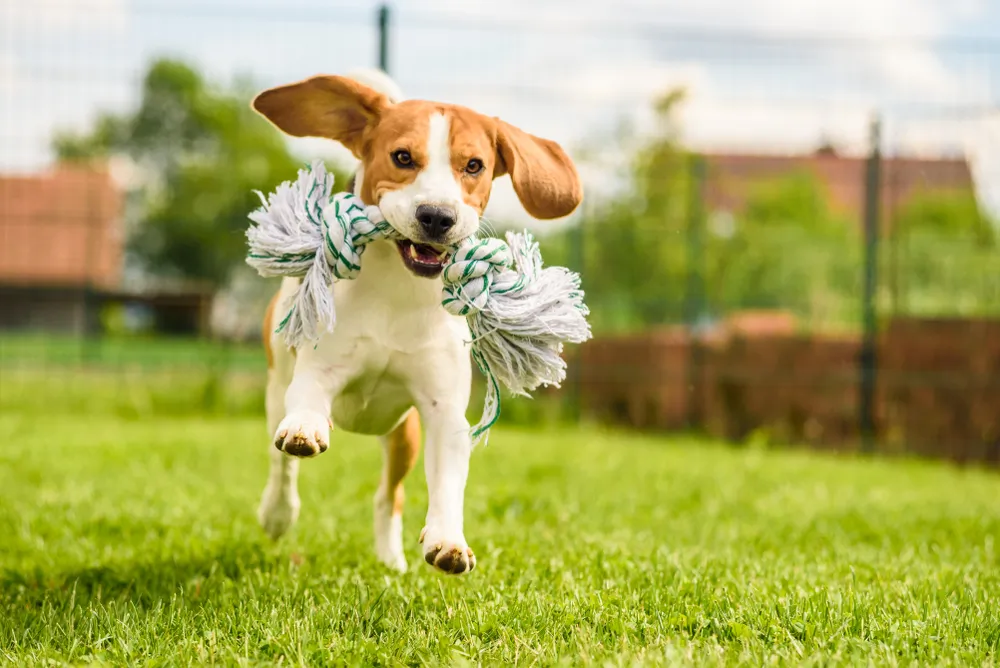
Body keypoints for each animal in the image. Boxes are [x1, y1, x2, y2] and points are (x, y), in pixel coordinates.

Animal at [248, 72, 584, 576]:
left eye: (474, 165)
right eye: (403, 157)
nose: (437, 216)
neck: (398, 293)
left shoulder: (443, 411)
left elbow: (447, 481)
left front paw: (448, 540)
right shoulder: (317, 372)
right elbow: (303, 412)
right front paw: (304, 432)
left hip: (402, 435)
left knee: (389, 496)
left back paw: (391, 560)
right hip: (275, 390)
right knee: (279, 463)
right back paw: (277, 512)